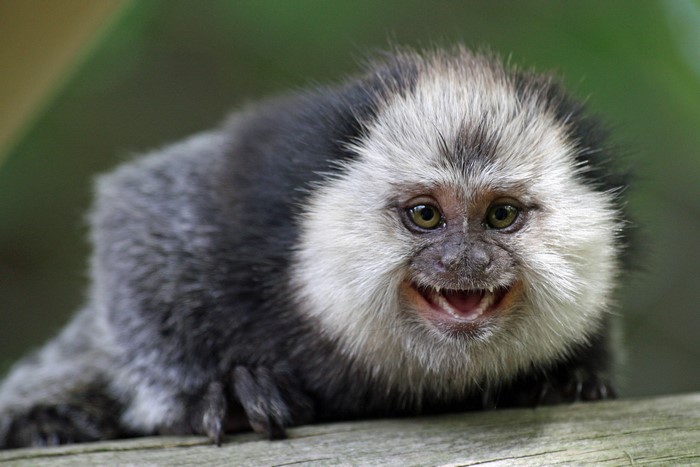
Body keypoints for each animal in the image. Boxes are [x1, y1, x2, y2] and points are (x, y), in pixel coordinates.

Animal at [0, 46, 629, 449]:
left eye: (501, 216)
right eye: (425, 215)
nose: (465, 262)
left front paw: (561, 380)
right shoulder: (239, 203)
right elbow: (134, 212)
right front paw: (213, 397)